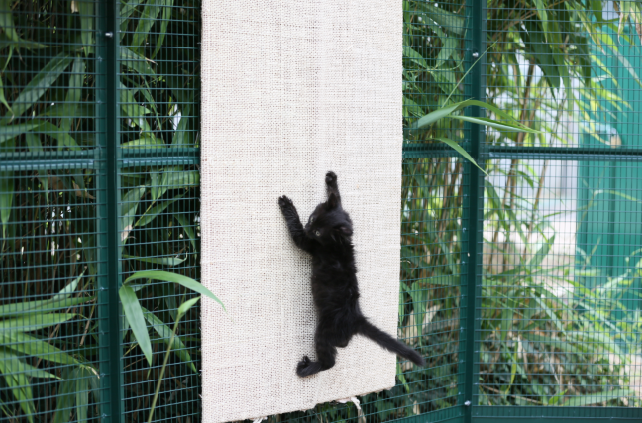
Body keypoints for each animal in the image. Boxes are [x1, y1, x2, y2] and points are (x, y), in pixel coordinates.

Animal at [276, 171, 422, 378]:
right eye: (312, 219)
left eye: (317, 232)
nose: (308, 228)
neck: (339, 243)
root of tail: (356, 318)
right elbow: (338, 199)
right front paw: (331, 181)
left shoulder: (308, 243)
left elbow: (295, 230)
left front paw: (287, 205)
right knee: (342, 345)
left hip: (324, 330)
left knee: (330, 361)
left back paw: (308, 368)